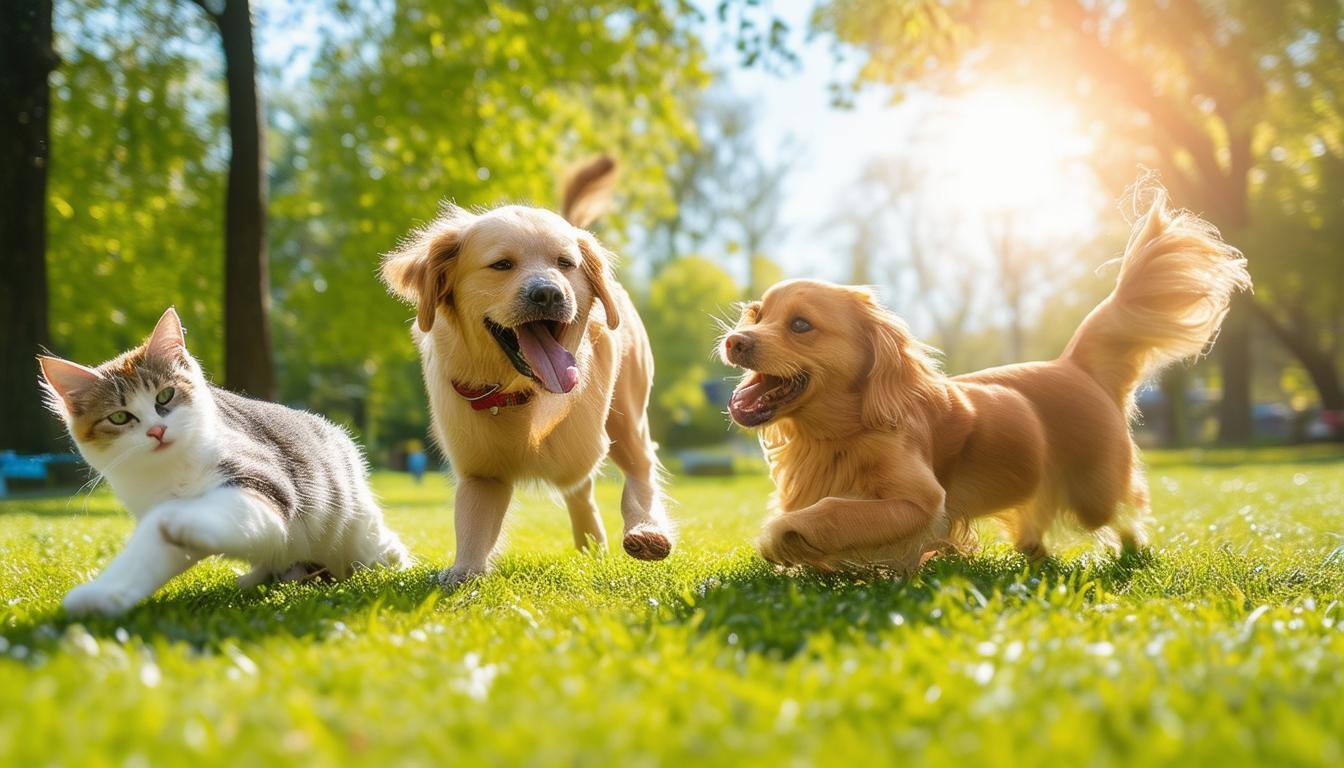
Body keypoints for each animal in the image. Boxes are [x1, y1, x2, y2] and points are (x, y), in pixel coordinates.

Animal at [40, 306, 408, 618]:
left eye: (165, 396)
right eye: (119, 417)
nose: (157, 431)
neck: (172, 470)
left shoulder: (261, 476)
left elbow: (228, 508)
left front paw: (183, 518)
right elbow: (152, 552)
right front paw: (103, 595)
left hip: (357, 530)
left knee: (381, 550)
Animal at [384, 159, 677, 586]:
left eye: (565, 264)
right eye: (502, 265)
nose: (549, 293)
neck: (521, 392)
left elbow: (630, 483)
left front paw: (643, 531)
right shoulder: (481, 472)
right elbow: (471, 525)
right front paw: (462, 571)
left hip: (628, 416)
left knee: (635, 468)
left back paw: (640, 529)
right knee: (582, 487)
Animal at [720, 192, 1252, 572]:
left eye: (801, 325)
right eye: (758, 315)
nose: (735, 341)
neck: (839, 436)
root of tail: (1074, 364)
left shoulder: (920, 501)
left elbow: (831, 511)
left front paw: (784, 537)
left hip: (1094, 495)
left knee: (1124, 513)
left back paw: (1133, 549)